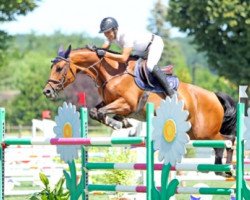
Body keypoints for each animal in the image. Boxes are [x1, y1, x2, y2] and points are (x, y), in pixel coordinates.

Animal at [43, 44, 236, 174]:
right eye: (52, 67)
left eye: (59, 68)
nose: (47, 91)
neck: (113, 73)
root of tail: (214, 96)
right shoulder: (108, 101)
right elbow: (94, 111)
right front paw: (121, 122)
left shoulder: (127, 104)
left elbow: (101, 112)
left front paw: (118, 123)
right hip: (197, 133)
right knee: (224, 142)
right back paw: (222, 168)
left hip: (205, 132)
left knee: (228, 140)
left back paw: (227, 168)